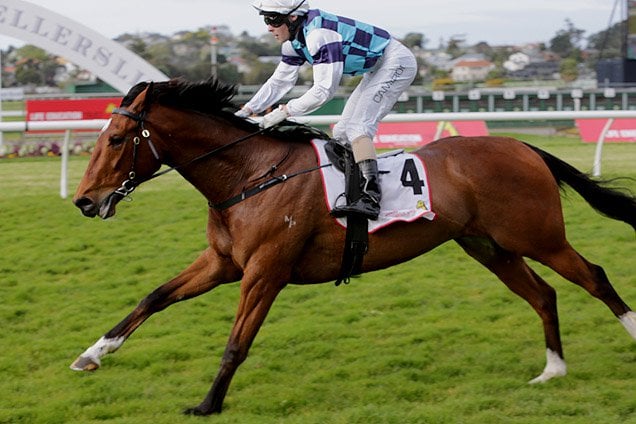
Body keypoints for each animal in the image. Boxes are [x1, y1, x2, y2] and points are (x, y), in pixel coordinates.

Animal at [71, 78, 636, 416]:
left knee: (596, 277)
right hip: (490, 247)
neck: (251, 175)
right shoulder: (223, 262)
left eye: (117, 140)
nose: (84, 201)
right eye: (99, 137)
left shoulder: (265, 271)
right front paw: (91, 354)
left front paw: (207, 404)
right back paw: (553, 369)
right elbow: (154, 297)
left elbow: (236, 343)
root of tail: (520, 144)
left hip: (539, 236)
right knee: (544, 295)